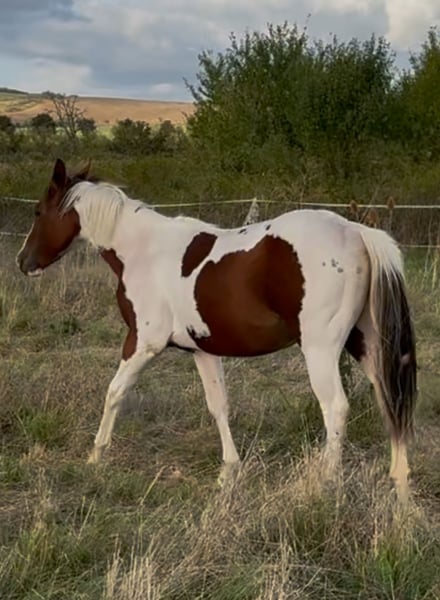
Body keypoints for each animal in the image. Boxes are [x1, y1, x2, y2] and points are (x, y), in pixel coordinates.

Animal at [16, 159, 417, 502]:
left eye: (38, 211)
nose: (23, 262)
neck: (143, 250)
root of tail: (358, 232)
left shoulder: (142, 343)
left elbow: (114, 392)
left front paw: (96, 456)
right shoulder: (204, 351)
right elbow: (219, 406)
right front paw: (228, 472)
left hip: (320, 350)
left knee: (335, 408)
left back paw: (325, 484)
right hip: (366, 346)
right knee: (390, 400)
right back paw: (400, 488)